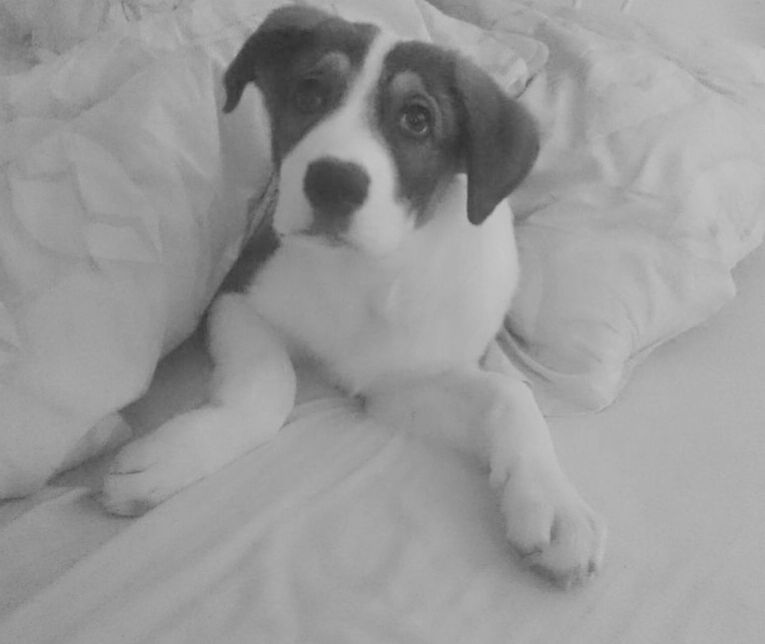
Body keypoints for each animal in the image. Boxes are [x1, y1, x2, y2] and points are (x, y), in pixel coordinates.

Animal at [101, 5, 604, 588]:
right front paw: (171, 459)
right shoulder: (237, 296)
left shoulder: (400, 384)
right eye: (310, 92)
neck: (363, 272)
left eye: (417, 120)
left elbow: (511, 396)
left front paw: (554, 502)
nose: (332, 183)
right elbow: (269, 386)